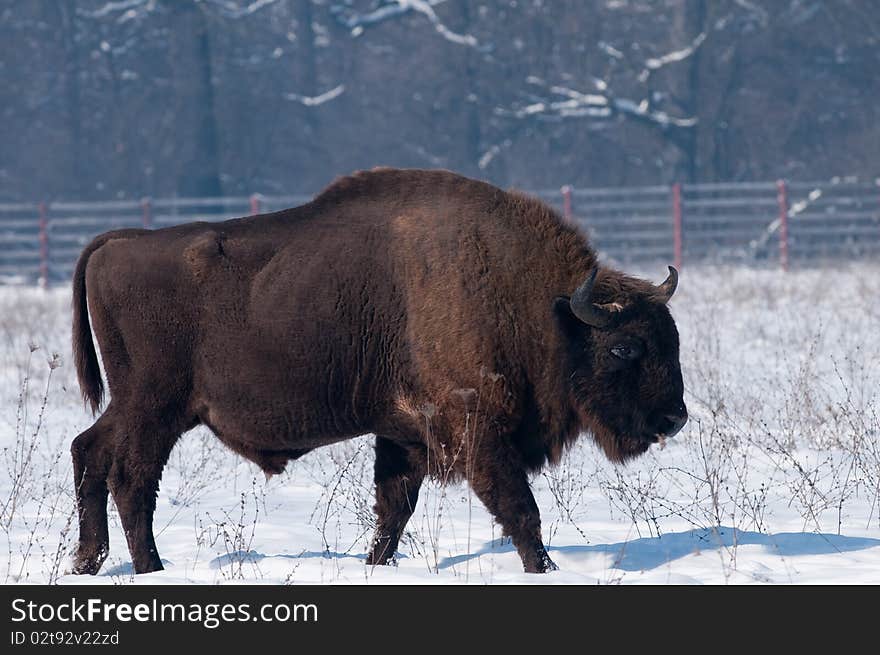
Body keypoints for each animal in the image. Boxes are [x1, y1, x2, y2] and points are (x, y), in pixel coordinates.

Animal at [70, 168, 688, 576]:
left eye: (671, 340)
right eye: (625, 348)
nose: (675, 418)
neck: (544, 309)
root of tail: (117, 243)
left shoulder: (403, 435)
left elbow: (394, 510)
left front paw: (374, 564)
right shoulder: (478, 434)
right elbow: (519, 509)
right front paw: (545, 570)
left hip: (138, 408)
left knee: (89, 452)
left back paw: (89, 562)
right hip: (154, 408)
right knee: (131, 478)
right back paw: (150, 568)